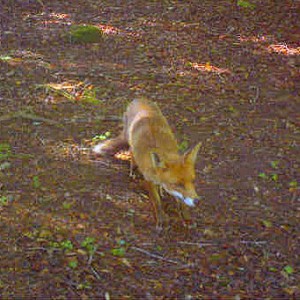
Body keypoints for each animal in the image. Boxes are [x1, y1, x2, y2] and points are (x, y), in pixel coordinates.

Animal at [94, 97, 200, 229]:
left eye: (193, 180)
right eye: (178, 184)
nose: (197, 201)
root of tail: (138, 98)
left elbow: (181, 201)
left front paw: (186, 217)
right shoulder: (148, 180)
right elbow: (156, 201)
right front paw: (161, 218)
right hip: (131, 141)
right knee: (131, 153)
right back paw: (133, 170)